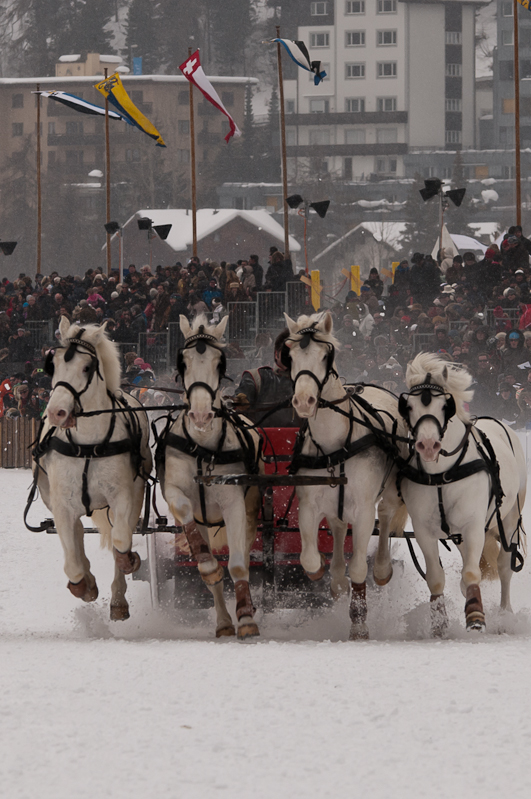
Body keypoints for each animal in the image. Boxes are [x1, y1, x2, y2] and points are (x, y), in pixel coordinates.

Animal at [31, 316, 152, 620]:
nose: (56, 412)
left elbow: (121, 542)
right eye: (54, 364)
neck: (87, 443)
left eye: (86, 367)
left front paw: (129, 566)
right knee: (75, 536)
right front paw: (85, 586)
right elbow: (72, 563)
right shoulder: (62, 506)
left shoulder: (123, 496)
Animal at [160, 316, 264, 640]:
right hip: (205, 520)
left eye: (221, 363)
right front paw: (209, 567)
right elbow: (206, 565)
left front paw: (246, 618)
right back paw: (222, 622)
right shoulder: (175, 491)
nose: (201, 415)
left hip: (251, 510)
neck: (204, 447)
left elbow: (239, 565)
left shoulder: (234, 504)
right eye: (183, 362)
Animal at [286, 310, 408, 640]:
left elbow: (359, 568)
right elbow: (309, 557)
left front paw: (359, 623)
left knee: (387, 518)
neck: (334, 445)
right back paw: (338, 578)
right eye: (291, 355)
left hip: (390, 491)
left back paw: (382, 569)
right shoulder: (309, 504)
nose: (304, 401)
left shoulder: (364, 509)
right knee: (340, 527)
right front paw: (321, 570)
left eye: (325, 355)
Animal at [400, 354, 528, 636]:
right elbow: (436, 578)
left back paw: (505, 614)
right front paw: (439, 624)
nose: (428, 445)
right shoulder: (423, 530)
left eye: (444, 406)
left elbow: (471, 574)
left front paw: (476, 617)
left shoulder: (473, 526)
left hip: (510, 519)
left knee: (505, 566)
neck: (441, 474)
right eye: (409, 406)